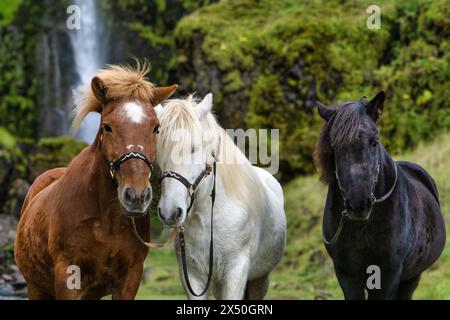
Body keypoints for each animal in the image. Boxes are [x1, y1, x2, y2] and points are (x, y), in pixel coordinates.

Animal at [14, 63, 176, 298]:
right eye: (107, 127)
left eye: (156, 128)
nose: (136, 196)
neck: (107, 220)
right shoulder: (68, 278)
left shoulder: (130, 278)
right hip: (35, 287)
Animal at [156, 94, 286, 298]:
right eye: (160, 149)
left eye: (193, 148)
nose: (170, 212)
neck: (208, 217)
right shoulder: (192, 276)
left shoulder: (236, 271)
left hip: (259, 279)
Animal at [312, 90, 446, 300]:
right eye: (334, 146)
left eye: (374, 142)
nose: (358, 204)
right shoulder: (346, 274)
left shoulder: (389, 273)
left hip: (412, 277)